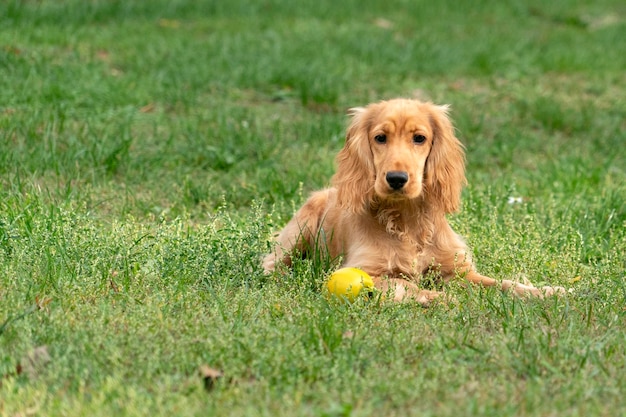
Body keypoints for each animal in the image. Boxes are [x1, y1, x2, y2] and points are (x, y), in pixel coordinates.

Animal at [260, 99, 564, 304]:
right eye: (380, 138)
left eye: (419, 138)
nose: (396, 179)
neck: (407, 220)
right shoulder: (366, 270)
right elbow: (403, 285)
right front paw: (439, 298)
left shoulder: (457, 271)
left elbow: (502, 282)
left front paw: (545, 291)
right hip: (300, 229)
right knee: (271, 263)